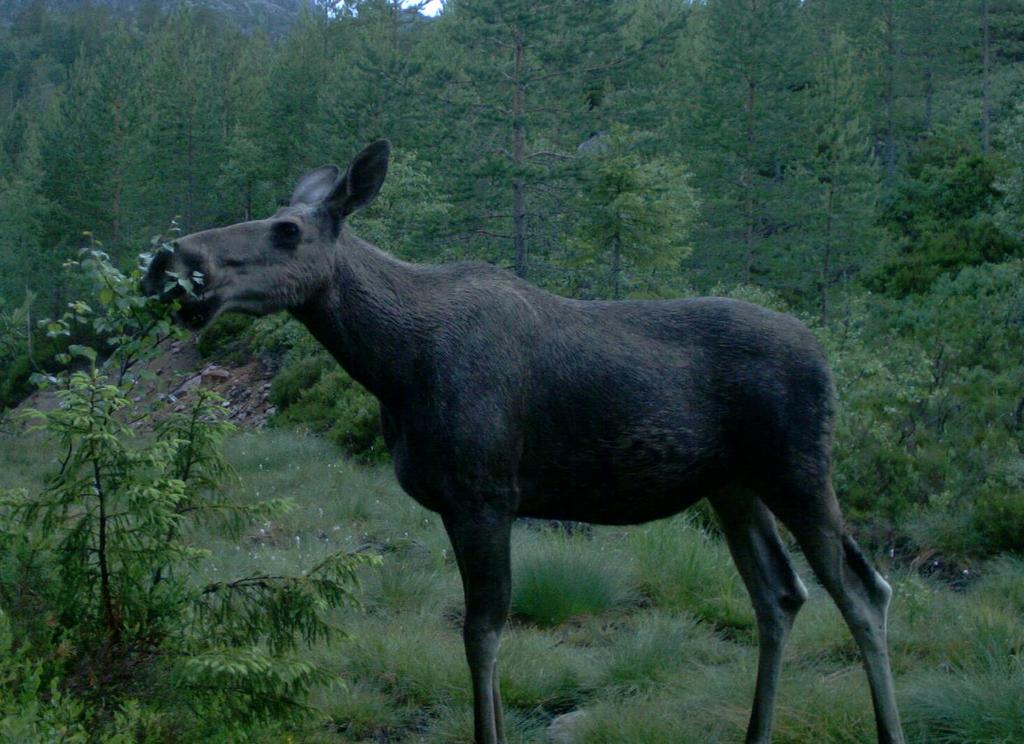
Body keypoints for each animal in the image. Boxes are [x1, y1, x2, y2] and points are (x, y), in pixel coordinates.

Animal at [142, 141, 905, 744]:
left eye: (287, 229)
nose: (170, 259)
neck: (392, 365)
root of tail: (827, 359)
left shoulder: (483, 494)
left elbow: (480, 634)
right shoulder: (468, 503)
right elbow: (485, 634)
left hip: (798, 468)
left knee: (864, 590)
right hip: (732, 485)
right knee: (780, 596)